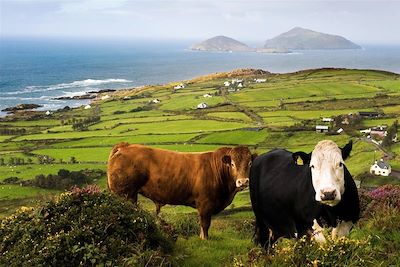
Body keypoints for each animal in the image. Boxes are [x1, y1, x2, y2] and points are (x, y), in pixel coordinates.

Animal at [108, 143, 255, 240]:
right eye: (232, 164)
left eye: (250, 163)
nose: (243, 181)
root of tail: (125, 146)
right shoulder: (205, 204)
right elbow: (205, 224)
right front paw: (205, 239)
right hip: (125, 194)